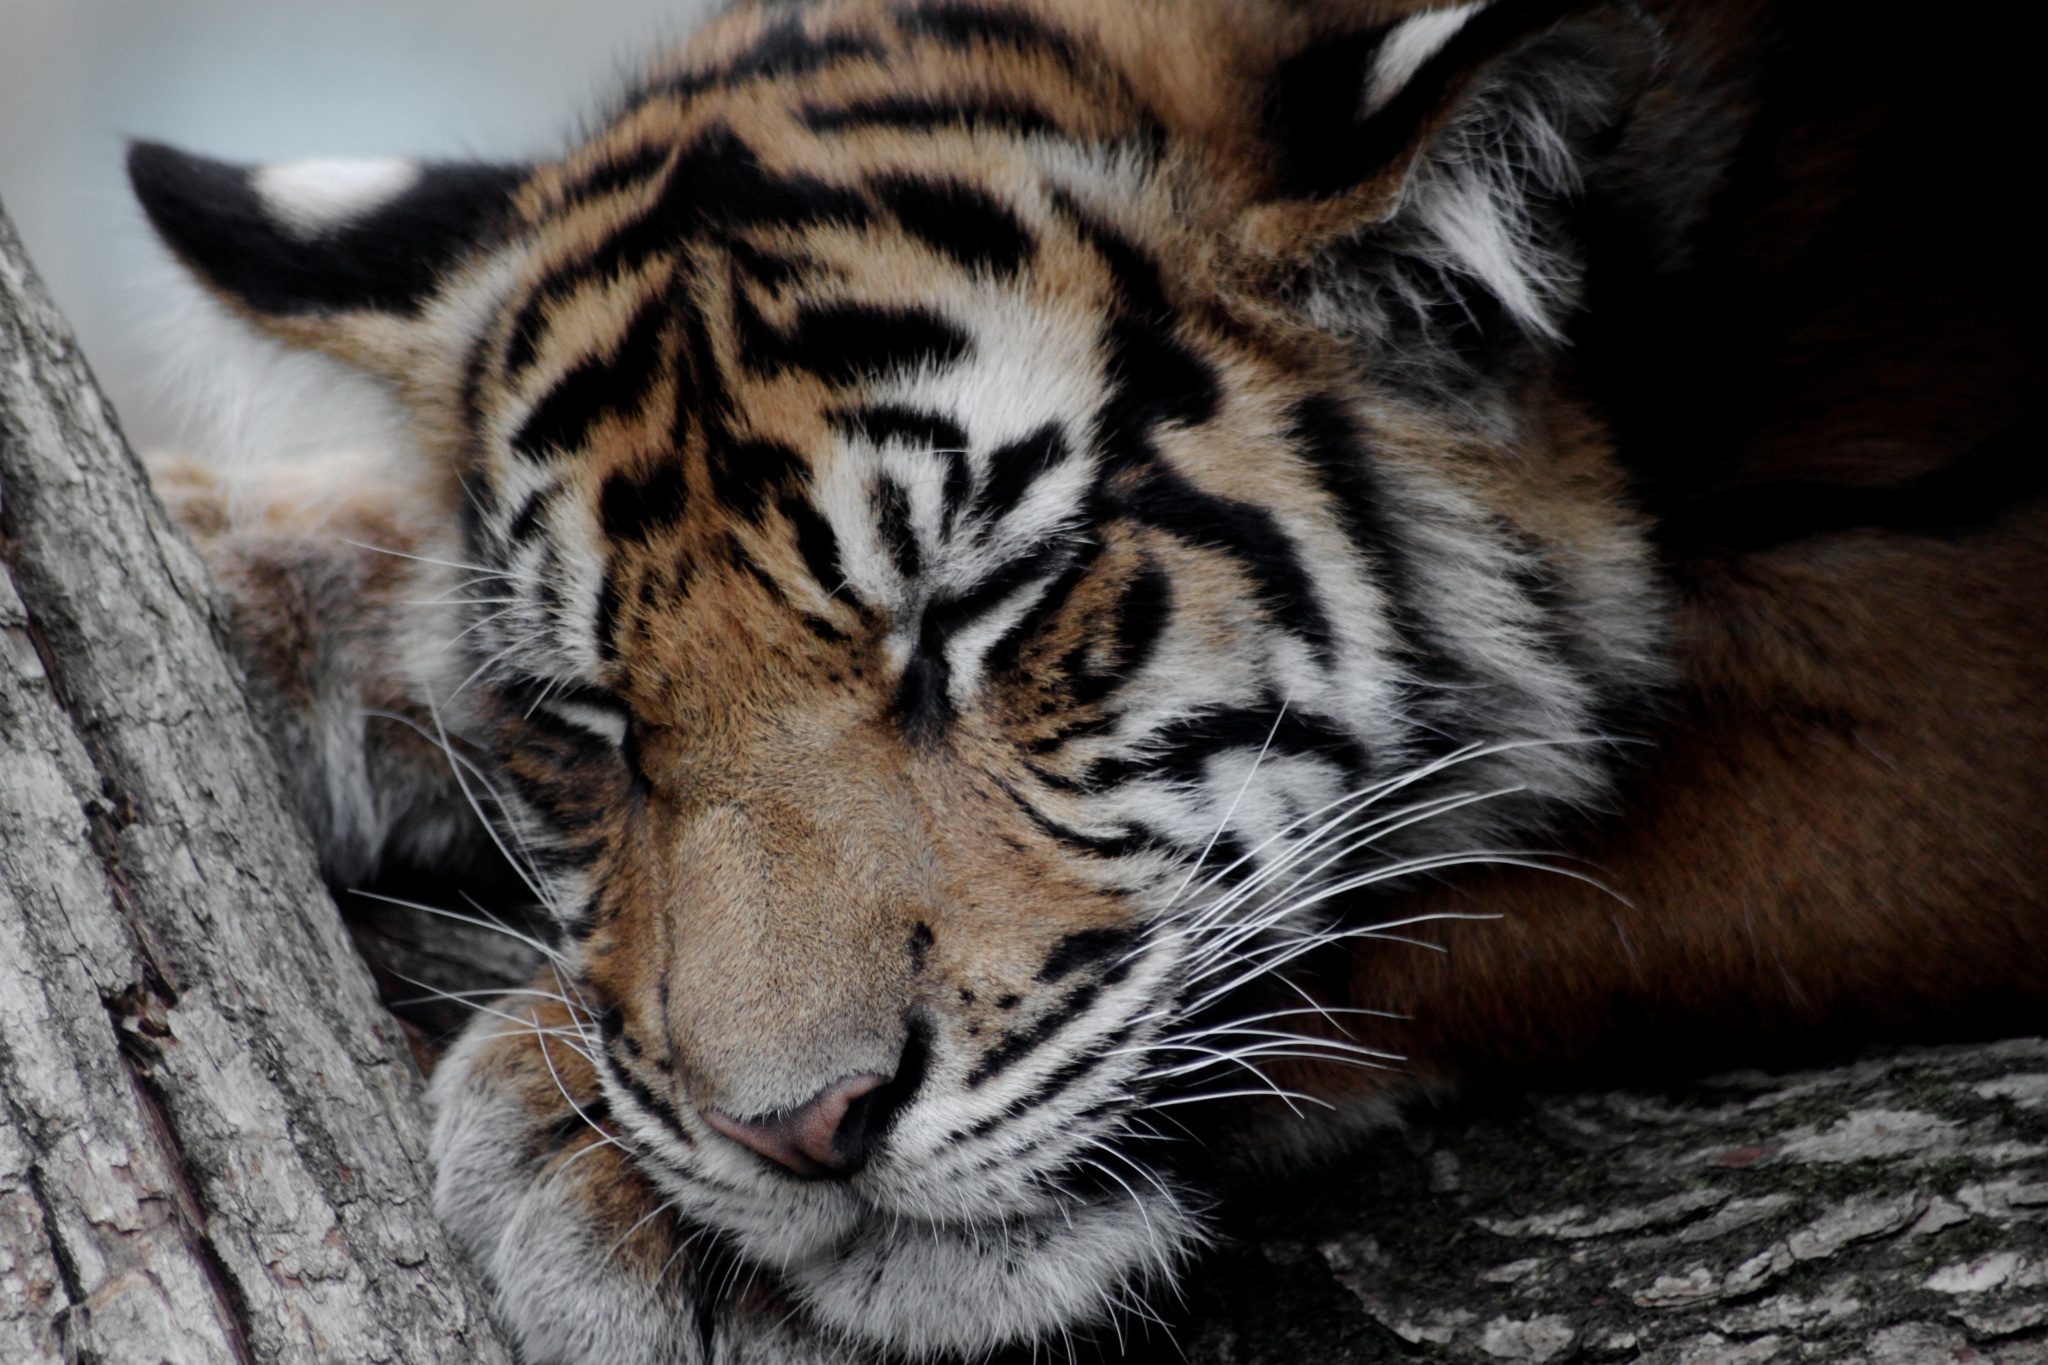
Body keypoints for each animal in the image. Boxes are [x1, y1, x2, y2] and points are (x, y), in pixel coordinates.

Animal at [128, 0, 2048, 1358]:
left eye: (979, 610)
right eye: (584, 724)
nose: (797, 1137)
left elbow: (1524, 876)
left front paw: (588, 1164)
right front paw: (235, 566)